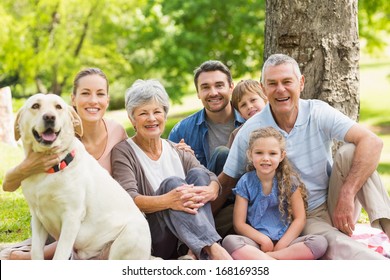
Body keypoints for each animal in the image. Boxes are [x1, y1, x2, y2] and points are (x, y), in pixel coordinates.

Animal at [13, 93, 152, 260]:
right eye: (35, 106)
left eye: (58, 107)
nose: (49, 117)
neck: (49, 170)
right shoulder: (37, 216)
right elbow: (35, 251)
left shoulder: (71, 217)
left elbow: (59, 255)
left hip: (127, 238)